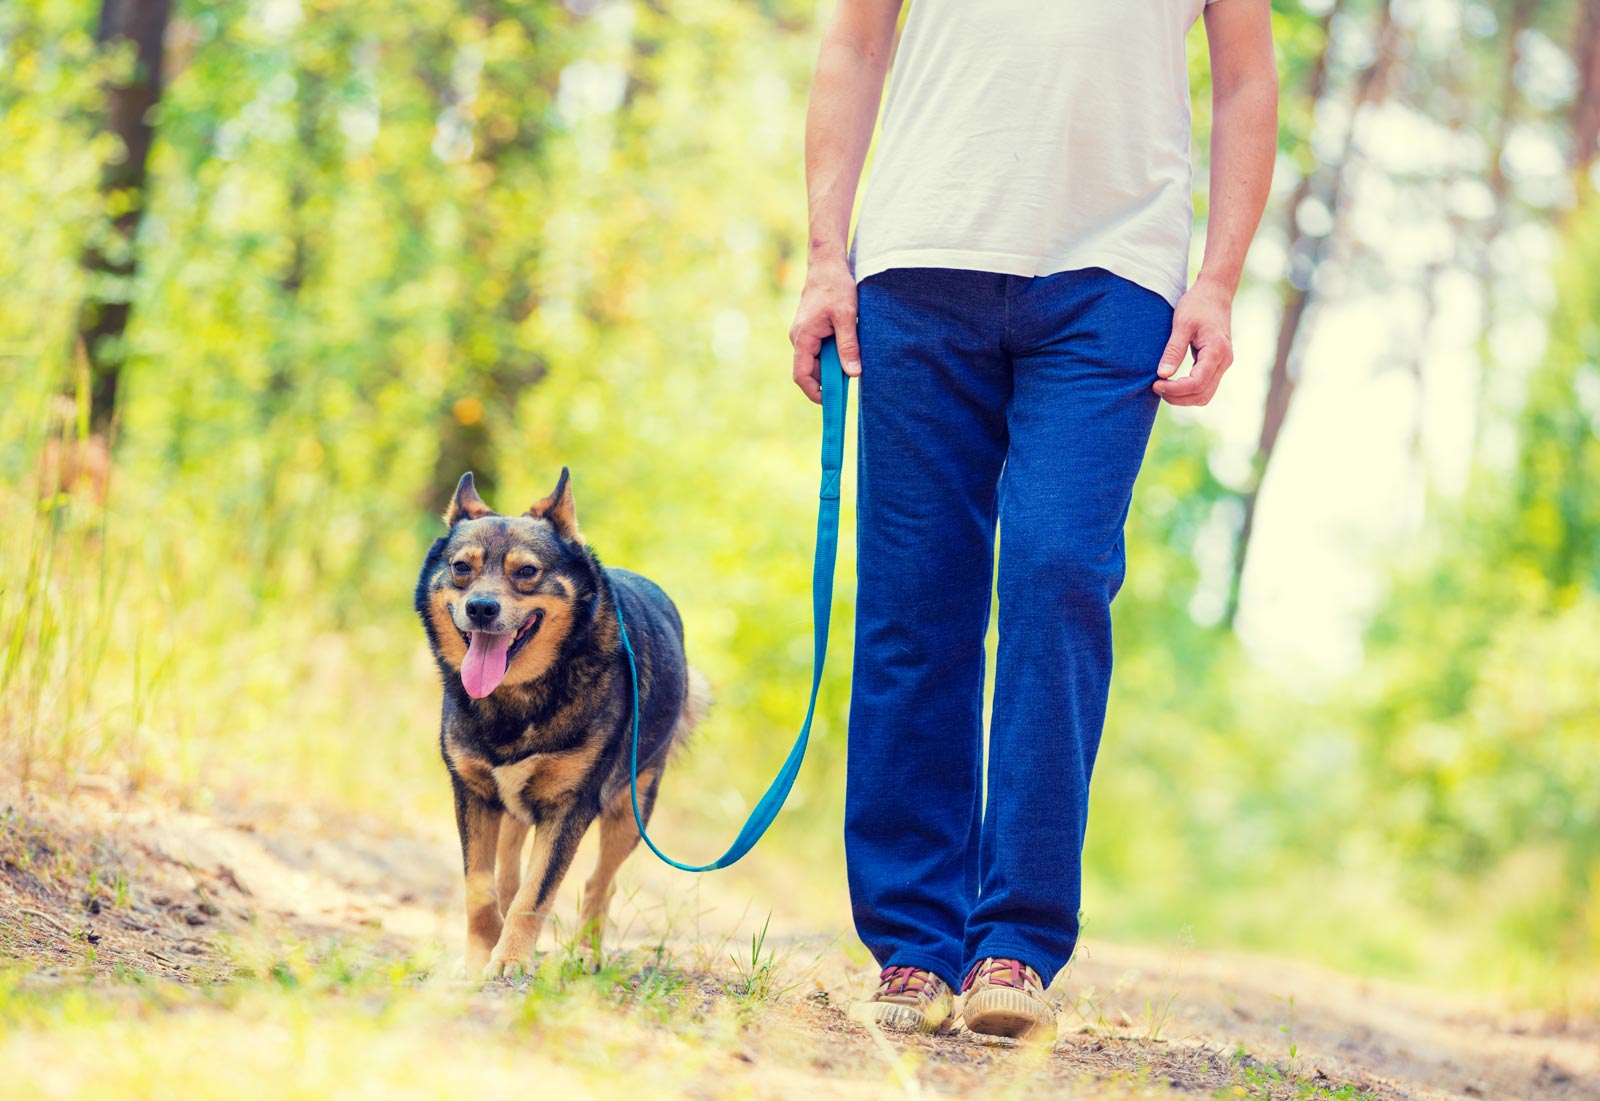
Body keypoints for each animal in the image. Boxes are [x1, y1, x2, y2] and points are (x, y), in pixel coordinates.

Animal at [416, 467, 710, 979]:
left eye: (526, 572)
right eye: (461, 567)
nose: (481, 608)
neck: (516, 700)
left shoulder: (570, 807)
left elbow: (534, 896)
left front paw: (510, 959)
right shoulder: (473, 793)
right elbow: (481, 887)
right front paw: (480, 956)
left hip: (631, 809)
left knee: (600, 883)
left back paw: (588, 953)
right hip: (513, 807)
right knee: (509, 875)